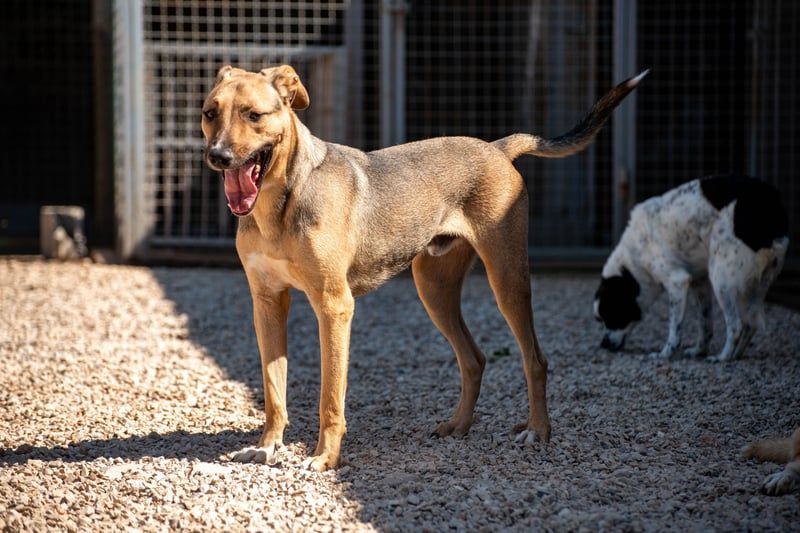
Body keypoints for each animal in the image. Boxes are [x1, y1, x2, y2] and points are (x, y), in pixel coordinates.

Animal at [201, 64, 645, 470]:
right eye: (209, 113)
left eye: (254, 115)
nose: (218, 157)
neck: (280, 203)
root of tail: (497, 148)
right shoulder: (267, 303)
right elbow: (273, 389)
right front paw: (266, 447)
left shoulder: (333, 305)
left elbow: (330, 396)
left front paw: (325, 457)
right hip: (434, 288)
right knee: (474, 359)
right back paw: (459, 426)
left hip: (507, 279)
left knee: (535, 359)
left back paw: (537, 431)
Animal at [594, 175, 789, 361]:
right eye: (599, 320)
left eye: (611, 315)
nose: (603, 345)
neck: (635, 255)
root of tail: (772, 201)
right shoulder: (699, 282)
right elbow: (705, 323)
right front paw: (699, 351)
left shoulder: (677, 282)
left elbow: (675, 330)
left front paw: (664, 354)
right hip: (756, 283)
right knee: (751, 323)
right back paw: (736, 355)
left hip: (722, 279)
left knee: (736, 325)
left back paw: (723, 357)